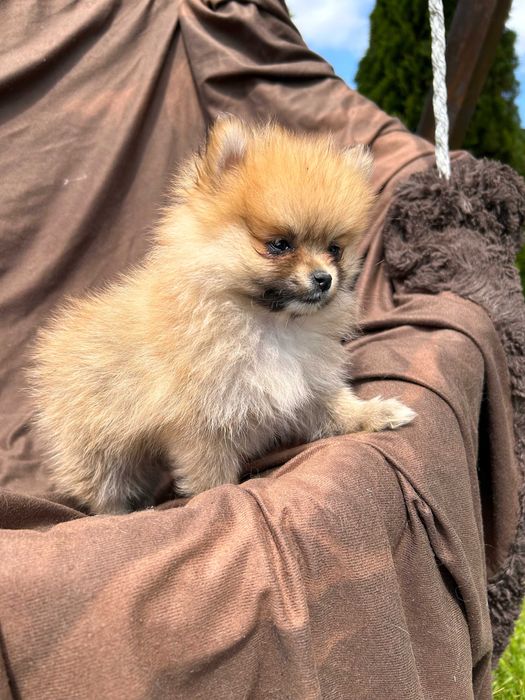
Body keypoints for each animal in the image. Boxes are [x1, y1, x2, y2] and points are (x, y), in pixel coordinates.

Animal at [30, 117, 416, 516]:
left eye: (335, 249)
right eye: (279, 245)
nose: (324, 279)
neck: (269, 324)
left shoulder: (308, 388)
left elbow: (339, 409)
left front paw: (380, 413)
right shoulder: (199, 427)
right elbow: (212, 478)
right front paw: (219, 498)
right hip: (96, 448)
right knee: (105, 490)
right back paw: (123, 514)